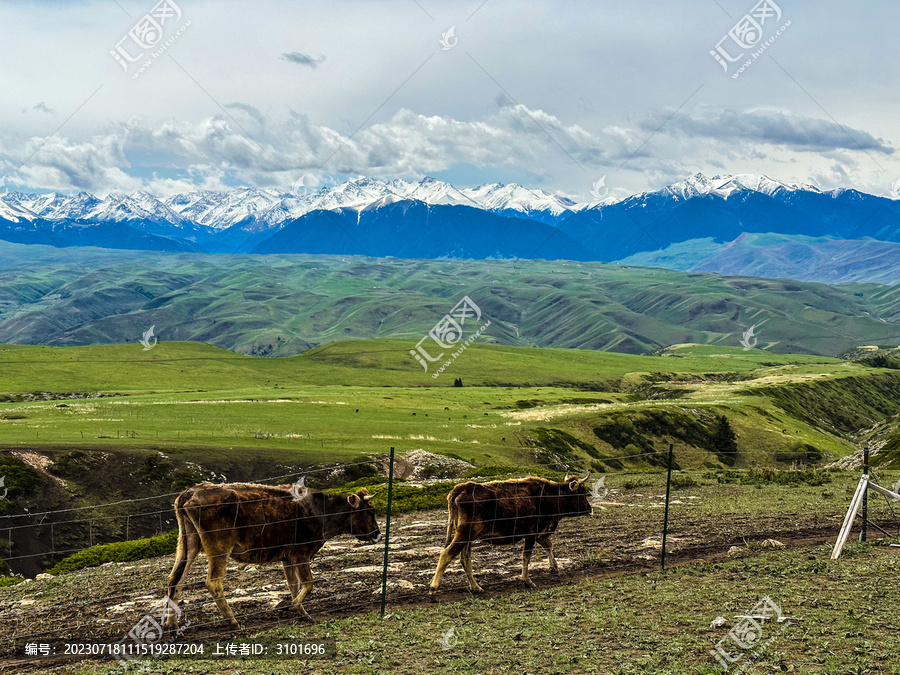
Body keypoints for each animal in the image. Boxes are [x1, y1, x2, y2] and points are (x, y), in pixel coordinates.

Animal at [165, 480, 380, 628]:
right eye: (370, 512)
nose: (378, 534)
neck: (320, 512)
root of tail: (191, 491)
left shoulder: (288, 558)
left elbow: (294, 585)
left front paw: (301, 611)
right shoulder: (301, 554)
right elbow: (308, 584)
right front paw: (295, 607)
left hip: (188, 544)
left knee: (175, 579)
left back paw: (172, 624)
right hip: (219, 549)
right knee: (213, 582)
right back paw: (233, 620)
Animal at [428, 476, 592, 596]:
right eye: (582, 494)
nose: (590, 508)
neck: (548, 496)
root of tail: (462, 488)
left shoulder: (540, 533)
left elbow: (549, 545)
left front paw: (554, 568)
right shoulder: (532, 532)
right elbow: (527, 556)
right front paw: (527, 581)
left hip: (468, 536)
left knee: (465, 559)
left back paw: (476, 587)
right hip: (464, 534)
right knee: (446, 554)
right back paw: (433, 588)